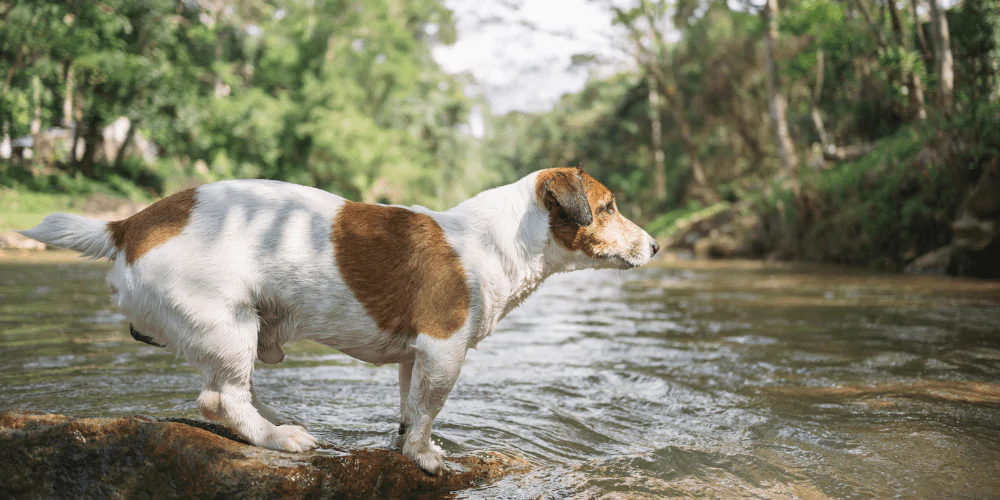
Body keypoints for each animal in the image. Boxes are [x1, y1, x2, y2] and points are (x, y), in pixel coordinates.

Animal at [19, 167, 660, 472]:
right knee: (220, 401)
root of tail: (129, 224)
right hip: (228, 327)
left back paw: (277, 420)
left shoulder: (415, 358)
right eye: (607, 208)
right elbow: (428, 414)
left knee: (229, 393)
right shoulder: (445, 351)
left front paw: (408, 442)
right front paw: (424, 456)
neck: (499, 239)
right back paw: (278, 436)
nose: (655, 246)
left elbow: (409, 408)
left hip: (233, 333)